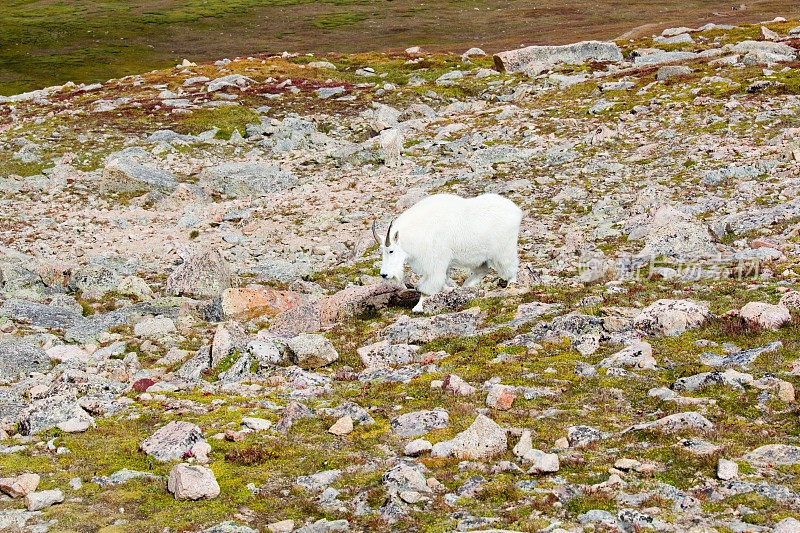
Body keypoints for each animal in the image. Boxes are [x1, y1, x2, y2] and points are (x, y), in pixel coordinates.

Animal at [372, 193, 520, 312]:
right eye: (381, 250)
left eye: (391, 250)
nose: (384, 274)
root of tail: (516, 210)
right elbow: (440, 282)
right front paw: (450, 290)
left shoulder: (436, 263)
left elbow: (427, 286)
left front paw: (418, 308)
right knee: (482, 270)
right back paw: (466, 286)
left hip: (504, 249)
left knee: (510, 268)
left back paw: (511, 286)